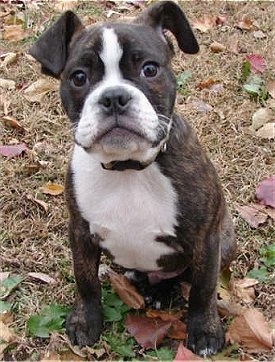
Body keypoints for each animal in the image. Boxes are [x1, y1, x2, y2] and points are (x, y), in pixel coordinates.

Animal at [29, 0, 237, 356]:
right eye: (79, 77)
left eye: (149, 70)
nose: (113, 97)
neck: (127, 167)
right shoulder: (80, 232)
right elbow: (86, 281)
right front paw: (86, 321)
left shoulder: (206, 238)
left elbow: (203, 290)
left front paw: (205, 331)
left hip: (225, 240)